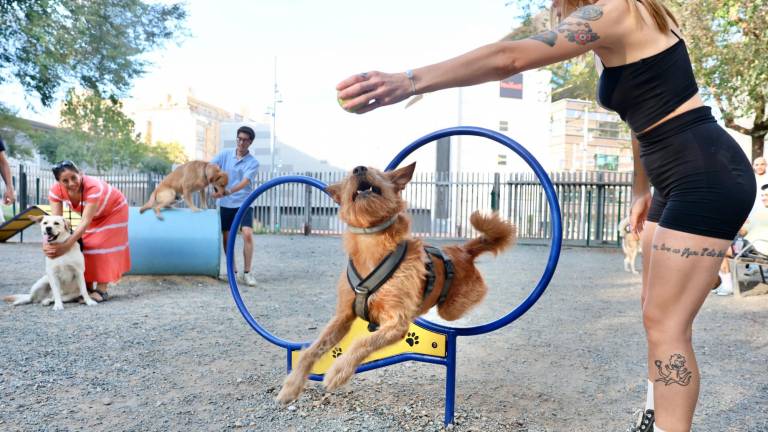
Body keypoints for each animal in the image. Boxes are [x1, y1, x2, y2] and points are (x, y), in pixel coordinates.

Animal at [276, 160, 516, 404]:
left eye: (376, 171)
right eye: (349, 175)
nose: (359, 168)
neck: (371, 245)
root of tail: (463, 250)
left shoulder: (396, 322)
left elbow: (361, 342)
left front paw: (337, 372)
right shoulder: (342, 317)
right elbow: (311, 350)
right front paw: (291, 386)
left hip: (452, 308)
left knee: (475, 296)